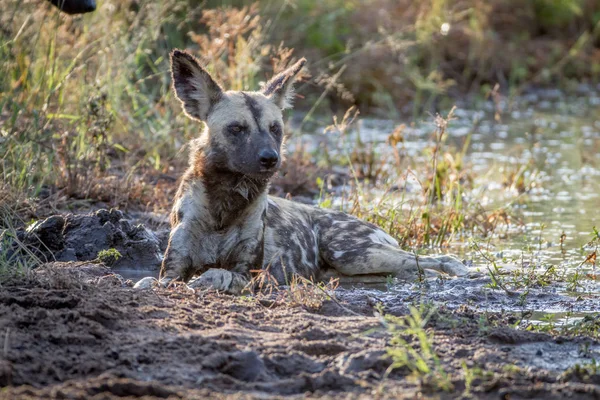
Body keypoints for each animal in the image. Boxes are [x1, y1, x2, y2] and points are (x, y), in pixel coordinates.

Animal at [159, 50, 468, 294]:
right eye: (236, 128)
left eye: (275, 128)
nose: (270, 158)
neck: (225, 205)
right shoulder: (170, 271)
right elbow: (165, 280)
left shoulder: (251, 275)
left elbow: (219, 273)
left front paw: (206, 280)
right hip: (352, 268)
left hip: (356, 254)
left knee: (437, 259)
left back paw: (462, 271)